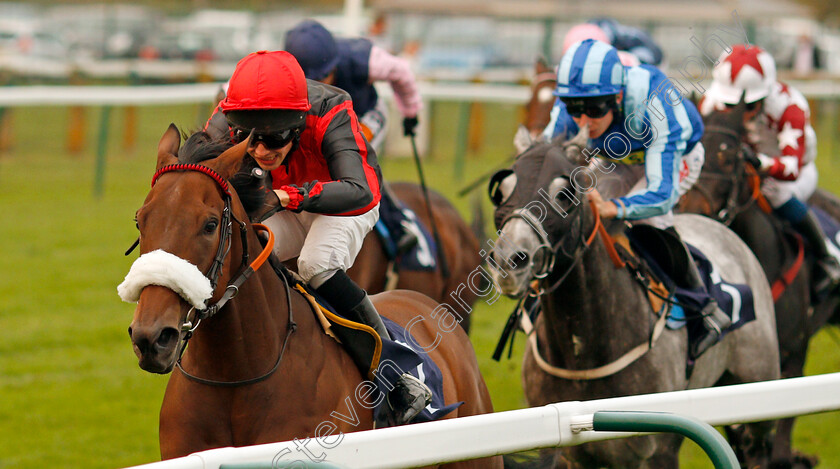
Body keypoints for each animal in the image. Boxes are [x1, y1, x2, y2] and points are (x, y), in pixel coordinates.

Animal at [486, 133, 780, 466]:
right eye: (502, 192)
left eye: (563, 195)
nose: (508, 261)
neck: (583, 354)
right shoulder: (570, 453)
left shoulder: (658, 450)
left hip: (759, 390)